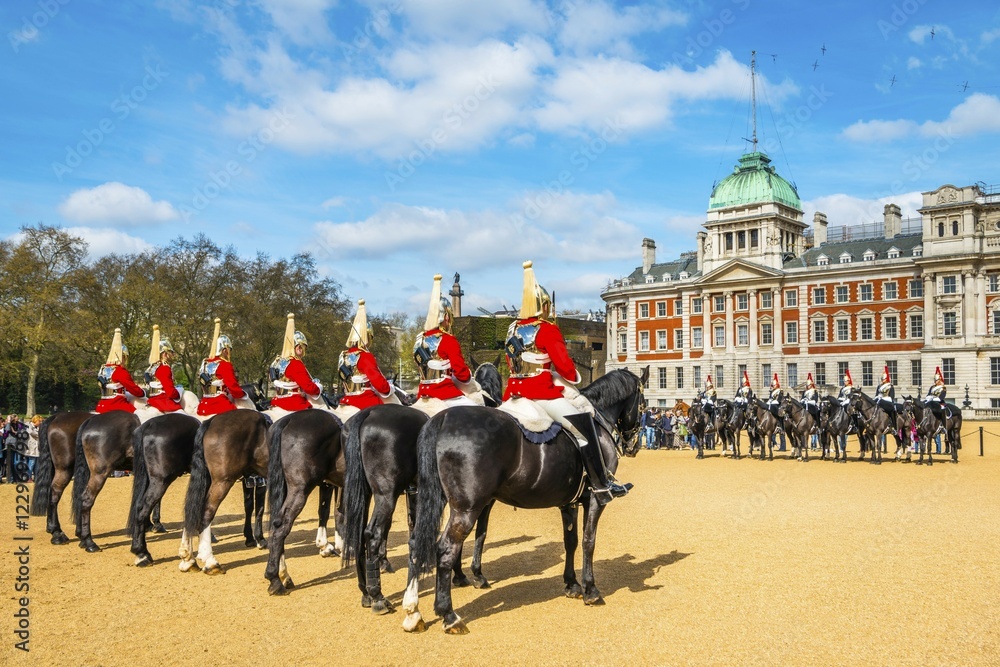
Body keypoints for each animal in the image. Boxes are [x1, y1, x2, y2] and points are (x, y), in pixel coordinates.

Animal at [401, 366, 647, 634]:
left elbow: (570, 541)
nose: (633, 445)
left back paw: (413, 611)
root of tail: (442, 418)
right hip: (466, 508)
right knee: (445, 549)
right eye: (643, 403)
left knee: (417, 543)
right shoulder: (595, 499)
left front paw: (571, 584)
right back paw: (449, 614)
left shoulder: (569, 502)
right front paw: (590, 589)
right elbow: (588, 542)